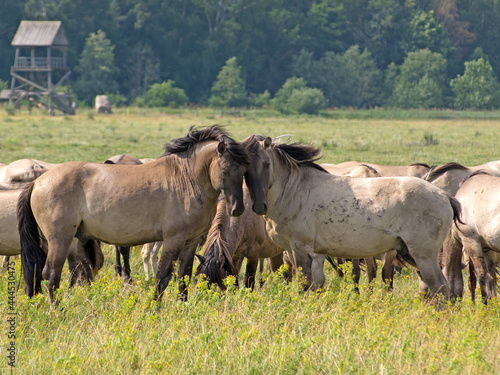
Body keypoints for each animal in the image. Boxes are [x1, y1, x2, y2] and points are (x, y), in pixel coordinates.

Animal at [242, 135, 460, 300]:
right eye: (245, 167)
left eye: (266, 164)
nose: (259, 205)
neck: (294, 190)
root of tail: (445, 196)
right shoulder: (296, 251)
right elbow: (312, 284)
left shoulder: (301, 249)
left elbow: (305, 285)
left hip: (424, 254)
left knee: (440, 286)